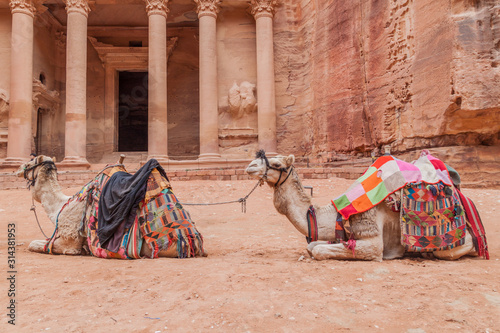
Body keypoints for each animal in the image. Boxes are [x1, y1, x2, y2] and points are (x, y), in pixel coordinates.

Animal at [17, 154, 205, 258]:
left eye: (31, 162)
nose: (18, 169)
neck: (59, 206)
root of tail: (195, 244)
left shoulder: (69, 242)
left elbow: (36, 244)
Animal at [244, 152, 478, 260]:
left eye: (276, 164)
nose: (250, 166)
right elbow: (313, 246)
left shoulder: (371, 234)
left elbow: (319, 250)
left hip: (456, 242)